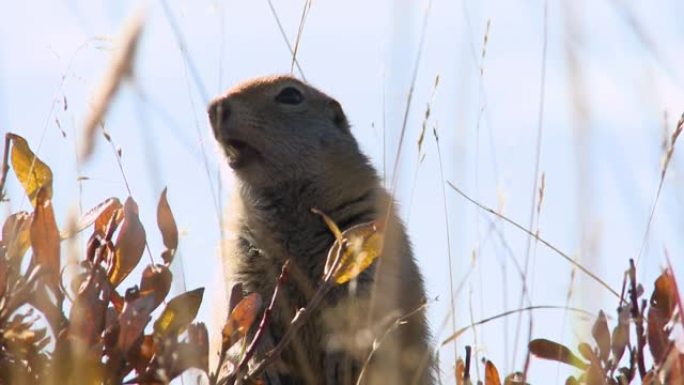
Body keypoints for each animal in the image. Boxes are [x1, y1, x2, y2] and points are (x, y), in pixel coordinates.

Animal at [208, 75, 432, 384]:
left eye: (290, 95)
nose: (214, 108)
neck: (289, 199)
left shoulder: (368, 226)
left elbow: (363, 297)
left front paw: (342, 360)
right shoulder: (241, 247)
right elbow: (242, 296)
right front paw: (259, 361)